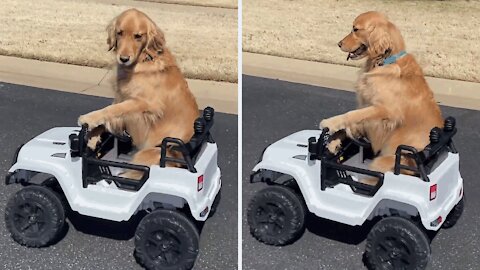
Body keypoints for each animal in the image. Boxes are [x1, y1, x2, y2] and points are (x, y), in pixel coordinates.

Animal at [78, 8, 198, 179]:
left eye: (138, 36)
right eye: (119, 33)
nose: (123, 58)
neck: (144, 60)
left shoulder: (145, 104)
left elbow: (114, 109)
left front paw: (89, 118)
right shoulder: (122, 97)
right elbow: (109, 115)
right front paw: (93, 136)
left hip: (146, 153)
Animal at [318, 10, 442, 184]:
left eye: (355, 29)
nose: (339, 44)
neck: (385, 61)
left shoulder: (386, 110)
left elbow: (352, 114)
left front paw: (330, 123)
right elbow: (355, 122)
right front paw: (334, 141)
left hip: (383, 161)